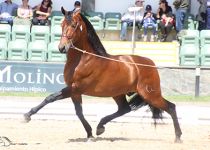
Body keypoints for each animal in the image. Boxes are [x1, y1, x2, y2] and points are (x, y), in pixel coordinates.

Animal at [23, 7, 182, 142]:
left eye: (73, 25)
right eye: (62, 24)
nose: (62, 48)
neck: (83, 59)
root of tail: (150, 63)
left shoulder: (75, 88)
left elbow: (51, 97)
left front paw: (27, 115)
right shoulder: (75, 91)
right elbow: (78, 112)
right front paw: (90, 133)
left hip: (150, 94)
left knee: (171, 107)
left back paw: (178, 137)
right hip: (118, 93)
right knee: (125, 109)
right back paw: (100, 127)